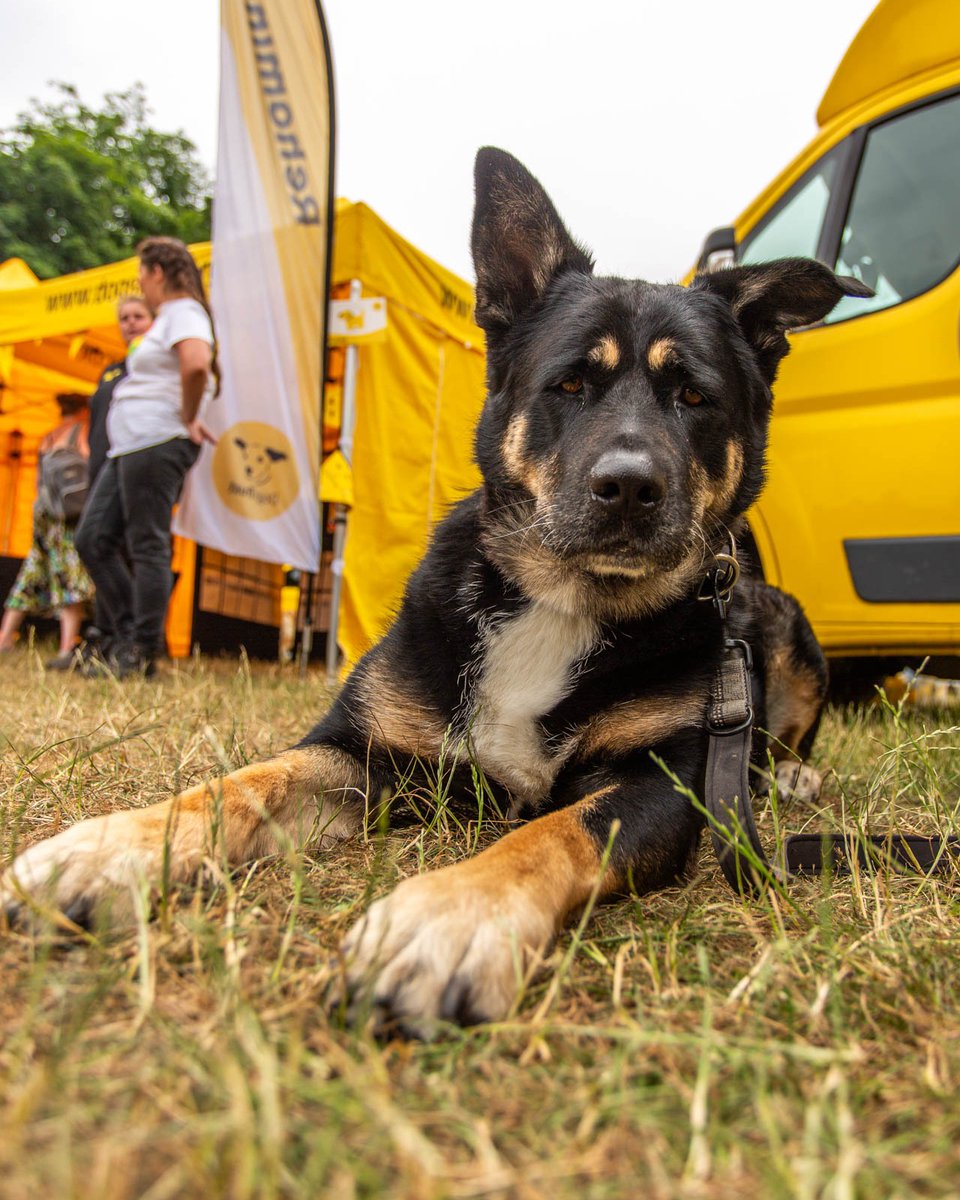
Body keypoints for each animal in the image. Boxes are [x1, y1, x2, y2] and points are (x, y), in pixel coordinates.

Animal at [1, 147, 868, 1032]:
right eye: (569, 385)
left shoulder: (663, 785)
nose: (628, 488)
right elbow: (242, 783)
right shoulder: (360, 749)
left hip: (788, 633)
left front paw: (448, 916)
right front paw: (113, 848)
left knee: (789, 736)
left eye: (695, 396)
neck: (562, 600)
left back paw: (791, 776)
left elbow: (548, 833)